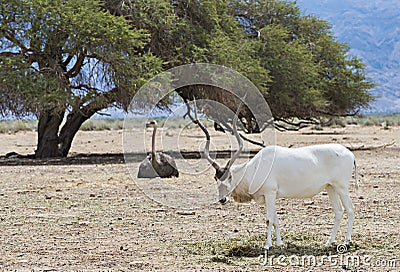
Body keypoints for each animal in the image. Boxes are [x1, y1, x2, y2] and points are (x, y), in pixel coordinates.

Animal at [192, 106, 358, 251]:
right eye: (216, 178)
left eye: (230, 177)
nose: (222, 199)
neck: (254, 169)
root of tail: (350, 154)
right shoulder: (269, 197)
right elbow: (276, 220)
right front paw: (278, 243)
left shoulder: (270, 193)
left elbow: (269, 220)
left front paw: (267, 245)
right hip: (331, 188)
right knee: (338, 211)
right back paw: (329, 242)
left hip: (341, 187)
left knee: (350, 209)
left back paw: (346, 241)